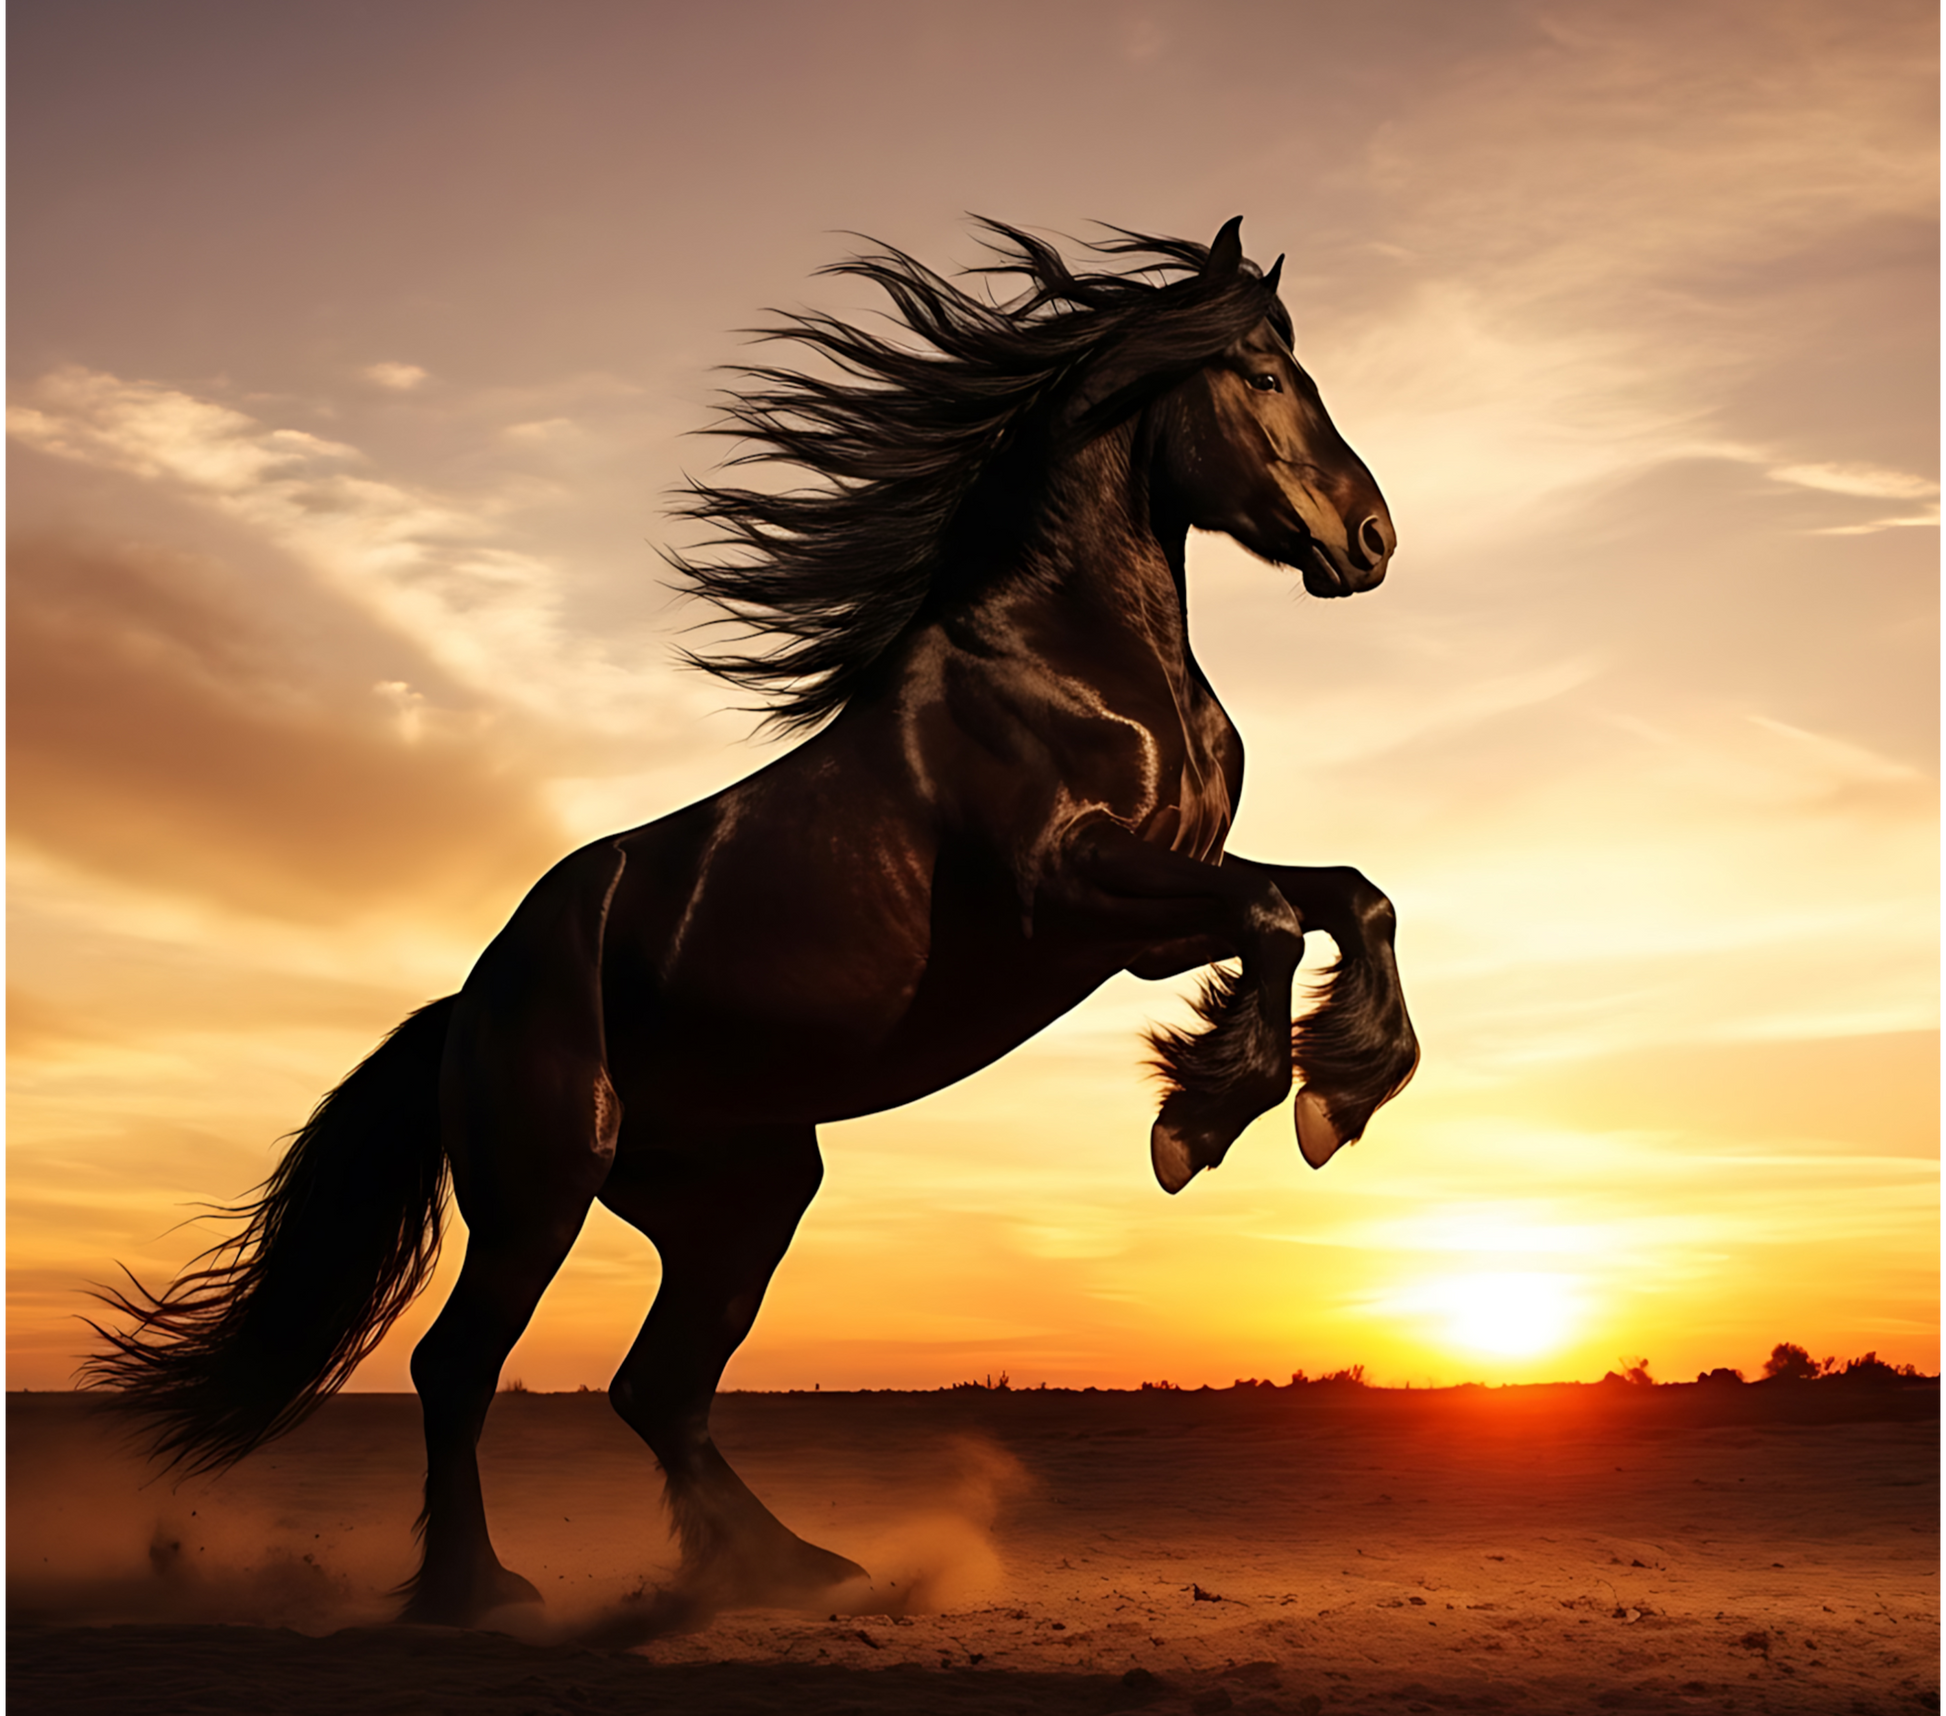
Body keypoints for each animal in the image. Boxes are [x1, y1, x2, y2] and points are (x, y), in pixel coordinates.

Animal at [84, 217, 1420, 1629]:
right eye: (1262, 374)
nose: (1371, 538)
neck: (1075, 661)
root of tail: (467, 1000)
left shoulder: (1150, 918)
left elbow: (1347, 895)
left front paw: (1333, 1096)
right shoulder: (1066, 896)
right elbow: (1273, 914)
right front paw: (1202, 1123)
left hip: (741, 1193)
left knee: (655, 1386)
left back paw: (786, 1568)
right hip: (541, 1187)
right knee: (460, 1367)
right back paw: (478, 1590)